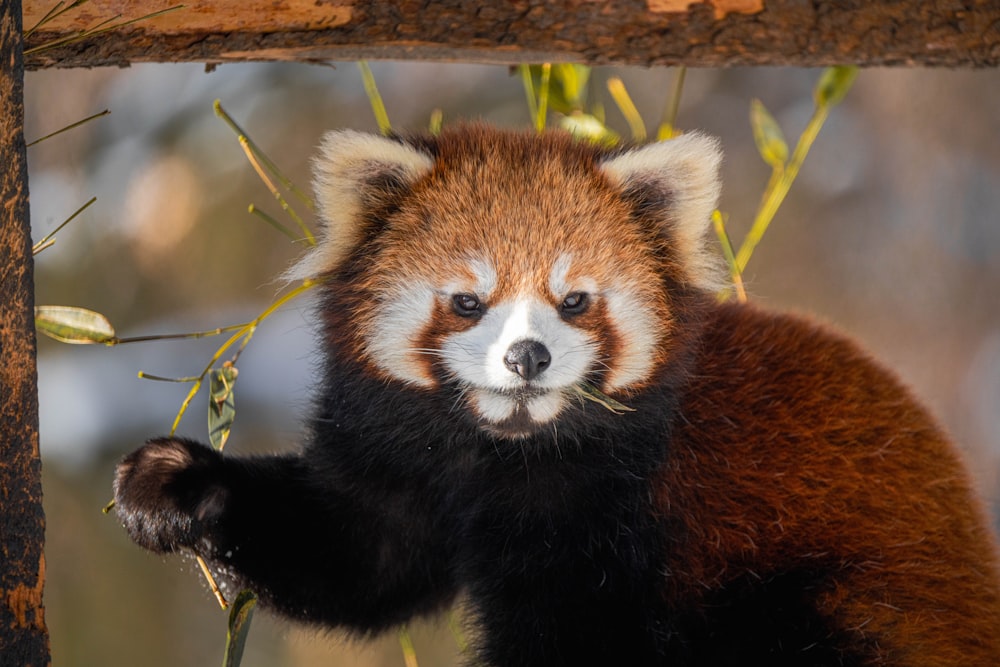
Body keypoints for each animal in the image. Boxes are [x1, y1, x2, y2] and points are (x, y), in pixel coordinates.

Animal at [111, 124, 1000, 664]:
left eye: (573, 300)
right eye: (467, 301)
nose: (528, 356)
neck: (506, 453)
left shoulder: (632, 523)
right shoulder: (404, 464)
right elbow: (361, 554)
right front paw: (174, 484)